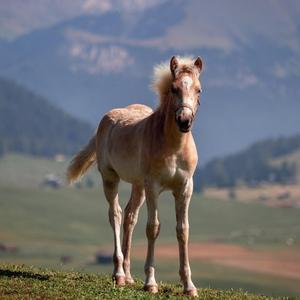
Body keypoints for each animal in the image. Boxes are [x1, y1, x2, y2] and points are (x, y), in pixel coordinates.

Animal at [67, 55, 204, 296]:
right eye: (174, 88)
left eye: (199, 90)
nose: (184, 121)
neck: (173, 147)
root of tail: (106, 120)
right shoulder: (153, 187)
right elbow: (153, 228)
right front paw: (150, 282)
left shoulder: (185, 188)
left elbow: (183, 231)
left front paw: (189, 286)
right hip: (111, 178)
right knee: (116, 214)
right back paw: (119, 274)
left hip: (138, 186)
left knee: (130, 217)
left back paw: (129, 276)